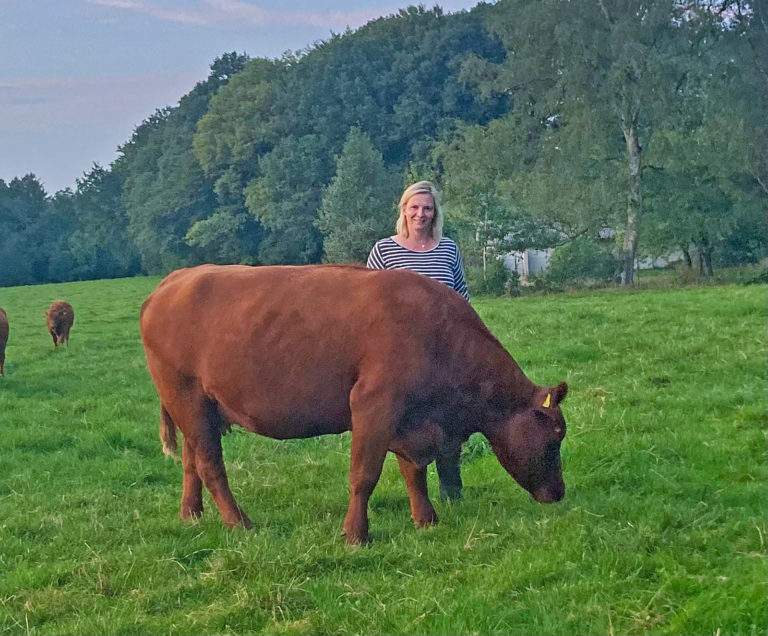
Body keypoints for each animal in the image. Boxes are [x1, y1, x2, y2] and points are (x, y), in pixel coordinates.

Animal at [141, 264, 568, 548]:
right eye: (554, 438)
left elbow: (413, 472)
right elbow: (364, 475)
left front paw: (426, 519)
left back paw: (192, 515)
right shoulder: (374, 405)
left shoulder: (408, 419)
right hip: (187, 397)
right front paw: (355, 535)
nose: (559, 493)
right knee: (210, 466)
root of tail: (174, 280)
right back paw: (239, 523)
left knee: (191, 461)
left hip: (197, 408)